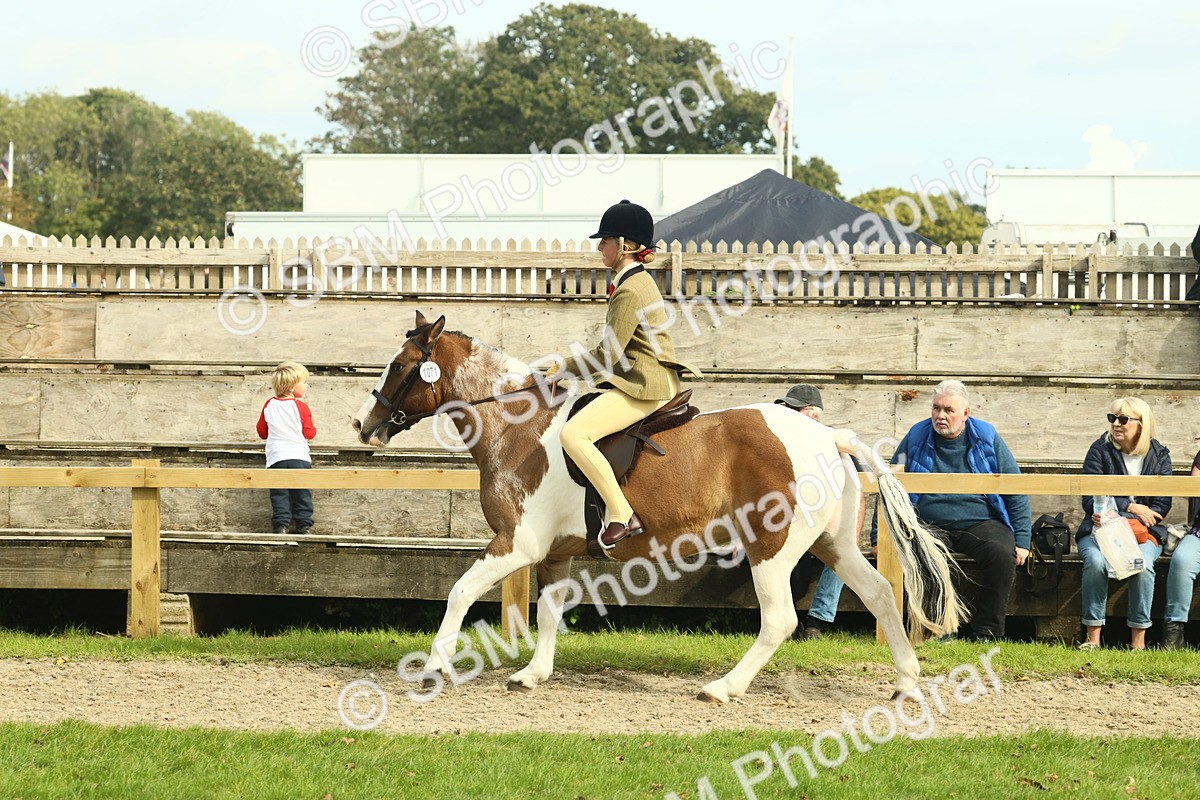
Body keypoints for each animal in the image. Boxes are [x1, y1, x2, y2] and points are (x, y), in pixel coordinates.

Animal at [352, 311, 967, 703]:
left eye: (400, 365)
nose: (362, 423)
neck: (517, 425)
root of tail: (828, 435)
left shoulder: (515, 545)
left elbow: (459, 592)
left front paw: (435, 666)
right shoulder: (554, 553)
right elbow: (548, 611)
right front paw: (533, 675)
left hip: (771, 547)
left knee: (780, 619)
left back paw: (723, 688)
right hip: (831, 544)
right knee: (881, 594)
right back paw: (906, 682)